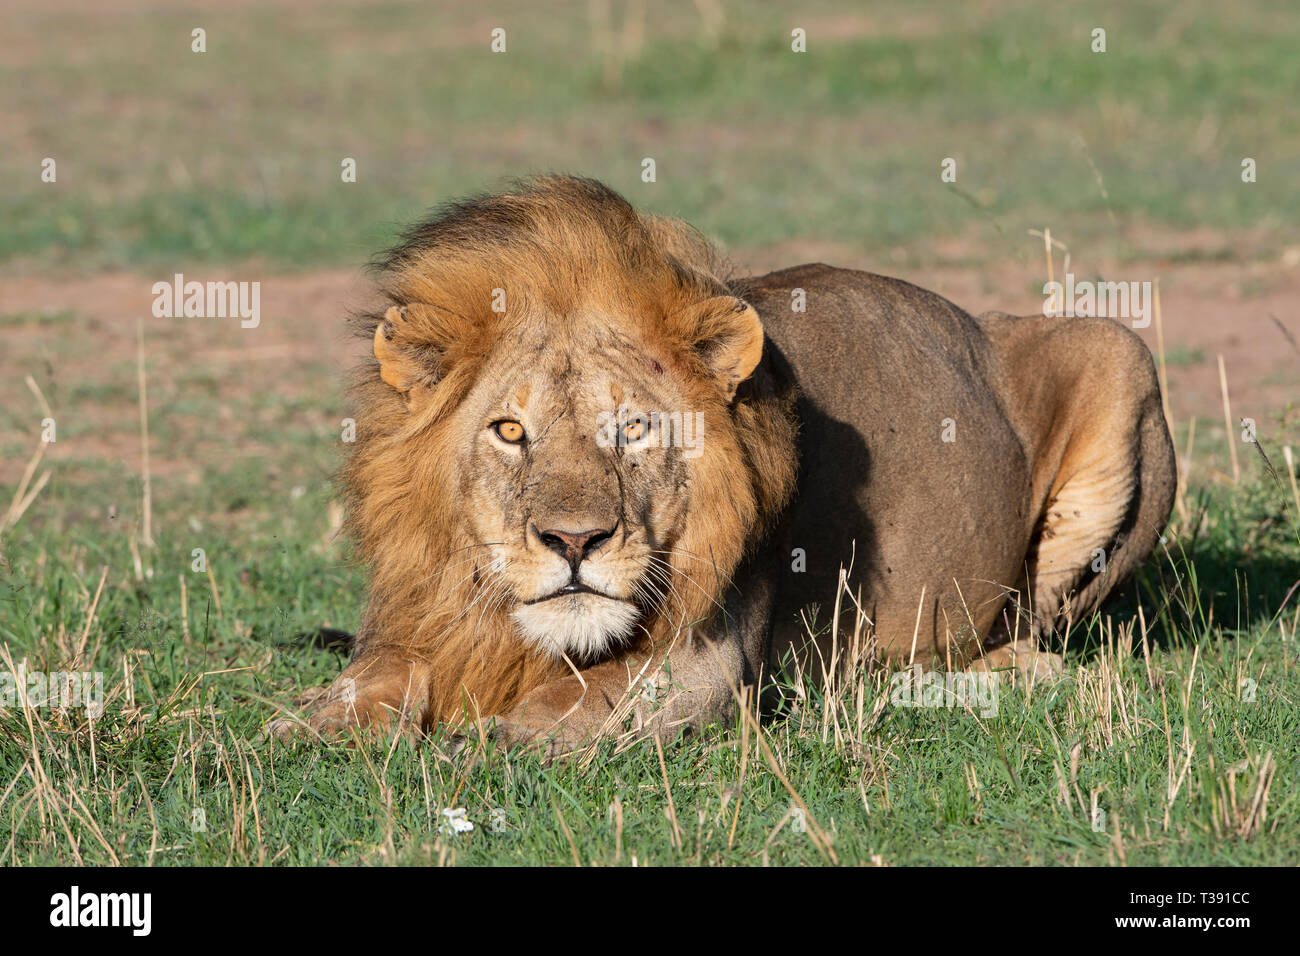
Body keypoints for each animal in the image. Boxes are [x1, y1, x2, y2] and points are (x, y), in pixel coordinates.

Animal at [267, 175, 1175, 755]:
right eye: (509, 430)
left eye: (633, 428)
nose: (574, 542)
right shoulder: (411, 618)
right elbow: (369, 680)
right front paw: (294, 729)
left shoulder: (701, 660)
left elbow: (580, 695)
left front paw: (493, 737)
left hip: (1118, 353)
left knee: (1032, 637)